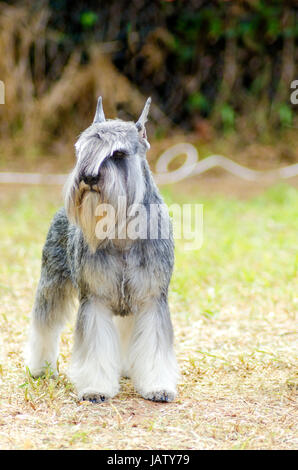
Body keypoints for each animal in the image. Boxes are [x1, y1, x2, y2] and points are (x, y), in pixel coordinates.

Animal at [25, 96, 178, 404]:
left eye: (117, 154)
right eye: (81, 149)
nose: (87, 176)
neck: (121, 233)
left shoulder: (152, 300)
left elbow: (154, 345)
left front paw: (157, 386)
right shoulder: (94, 300)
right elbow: (95, 347)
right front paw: (95, 388)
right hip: (52, 284)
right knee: (44, 324)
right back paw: (40, 368)